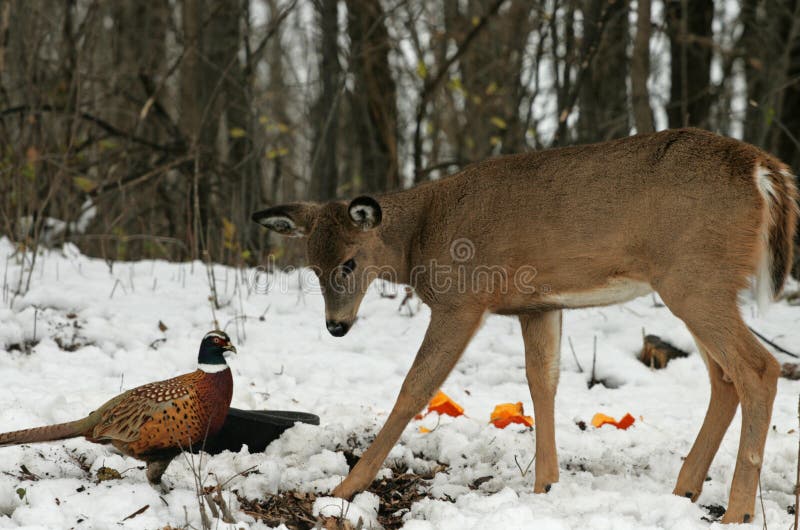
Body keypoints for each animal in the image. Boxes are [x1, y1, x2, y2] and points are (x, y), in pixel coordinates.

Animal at [253, 127, 796, 520]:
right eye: (312, 266)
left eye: (349, 262)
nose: (336, 326)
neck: (421, 236)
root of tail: (763, 170)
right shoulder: (538, 305)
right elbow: (542, 382)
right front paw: (546, 486)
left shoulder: (462, 299)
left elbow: (415, 387)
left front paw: (346, 486)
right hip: (699, 285)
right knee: (724, 378)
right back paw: (685, 489)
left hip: (696, 279)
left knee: (759, 368)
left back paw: (738, 511)